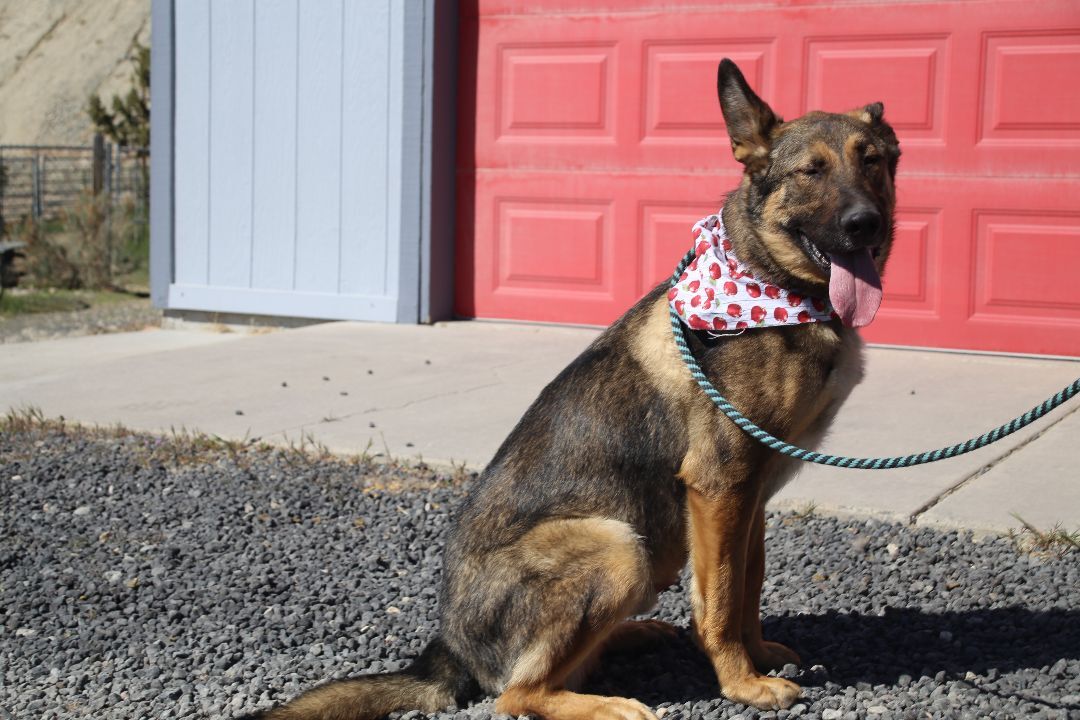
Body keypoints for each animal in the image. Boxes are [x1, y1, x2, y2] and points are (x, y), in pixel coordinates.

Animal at [247, 60, 902, 720]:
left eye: (872, 161)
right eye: (811, 171)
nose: (864, 223)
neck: (776, 283)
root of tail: (451, 651)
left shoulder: (750, 496)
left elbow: (747, 587)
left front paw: (759, 655)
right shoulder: (721, 485)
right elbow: (719, 600)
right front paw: (742, 683)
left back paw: (635, 635)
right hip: (617, 544)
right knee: (516, 694)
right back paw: (610, 704)